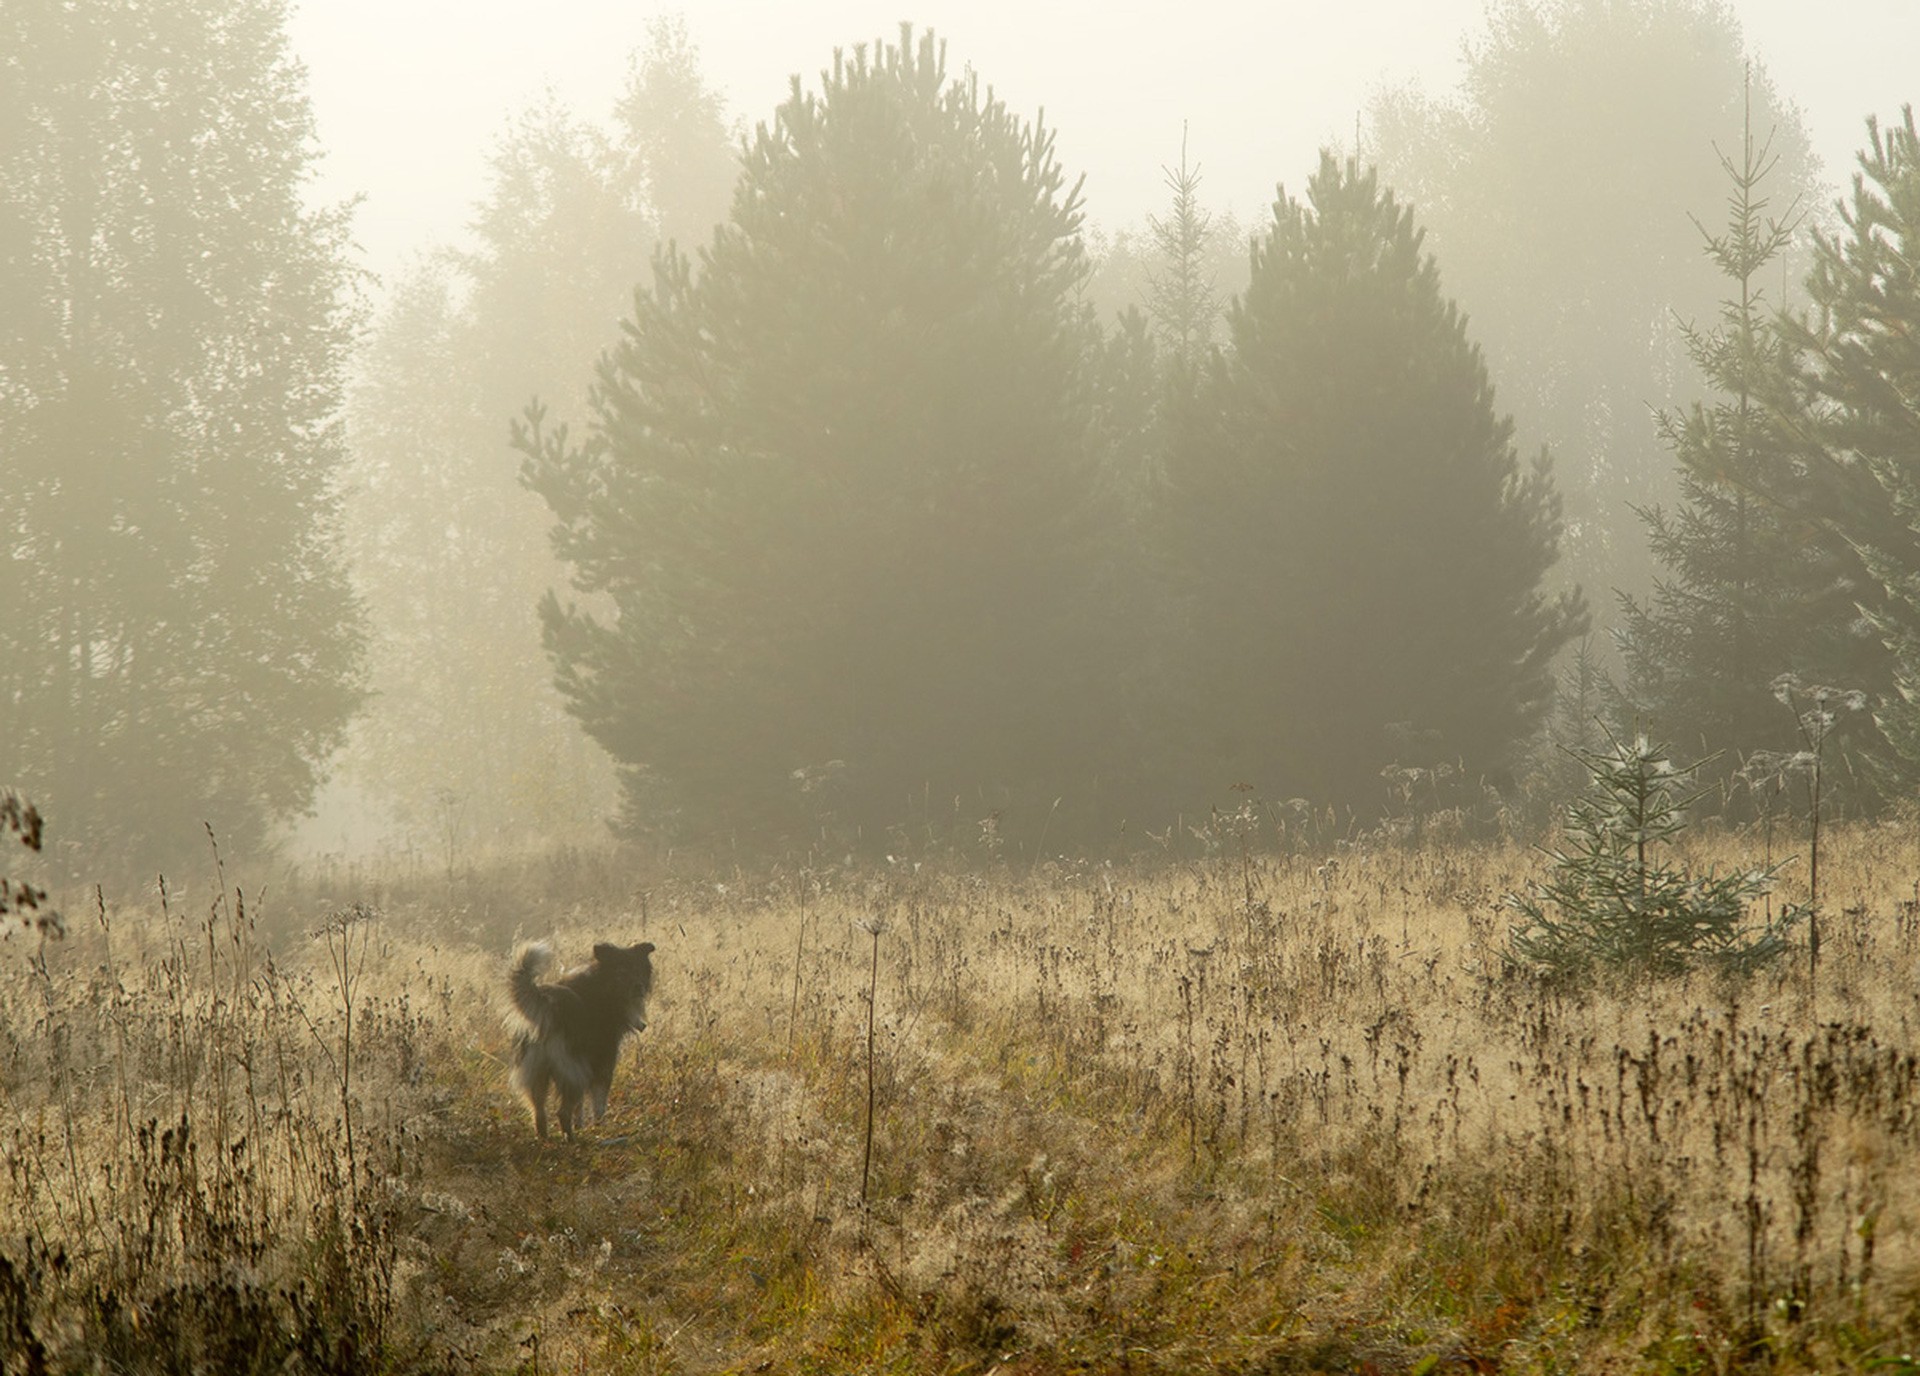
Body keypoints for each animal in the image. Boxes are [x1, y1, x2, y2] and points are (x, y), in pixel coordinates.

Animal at [506, 932, 656, 1136]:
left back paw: (545, 1138)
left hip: (537, 1071)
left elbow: (580, 1108)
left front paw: (581, 1126)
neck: (602, 983)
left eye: (638, 969)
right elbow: (599, 1104)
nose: (639, 987)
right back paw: (571, 1138)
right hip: (574, 1072)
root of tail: (549, 1008)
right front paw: (599, 1128)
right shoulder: (602, 1063)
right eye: (621, 971)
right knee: (562, 1112)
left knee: (539, 1111)